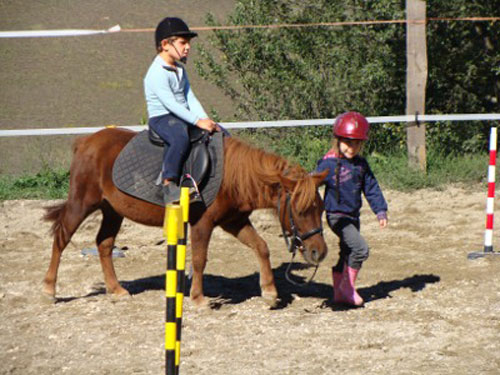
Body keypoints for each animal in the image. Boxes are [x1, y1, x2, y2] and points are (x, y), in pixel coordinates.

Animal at [43, 128, 328, 306]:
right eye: (301, 210)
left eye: (321, 208)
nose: (319, 252)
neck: (232, 175)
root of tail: (86, 142)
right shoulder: (203, 224)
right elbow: (200, 259)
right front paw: (199, 298)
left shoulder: (234, 221)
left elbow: (262, 247)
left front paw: (269, 291)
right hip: (81, 204)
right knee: (61, 238)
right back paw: (49, 289)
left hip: (112, 211)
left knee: (103, 244)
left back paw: (116, 289)